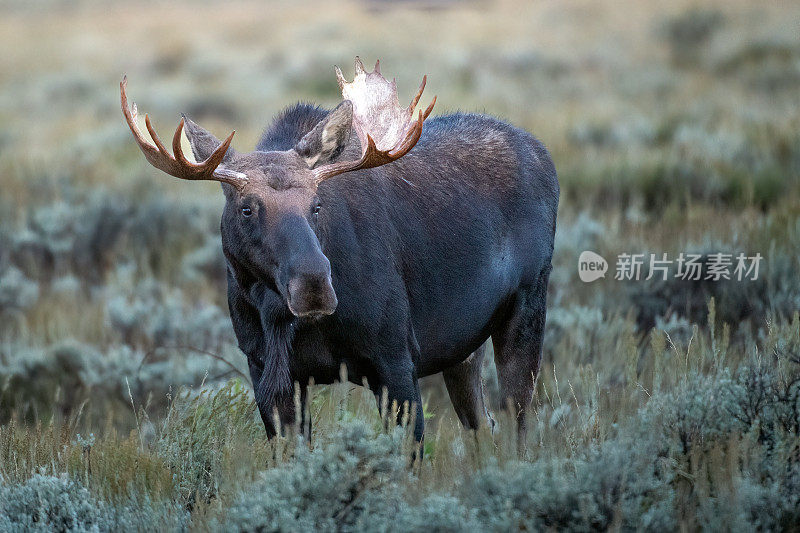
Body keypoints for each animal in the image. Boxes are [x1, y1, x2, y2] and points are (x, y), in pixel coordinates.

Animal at [119, 59, 560, 448]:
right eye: (246, 208)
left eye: (317, 204)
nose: (314, 285)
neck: (279, 319)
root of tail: (544, 153)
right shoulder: (267, 374)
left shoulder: (396, 361)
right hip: (464, 347)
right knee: (483, 426)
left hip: (526, 309)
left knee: (519, 425)